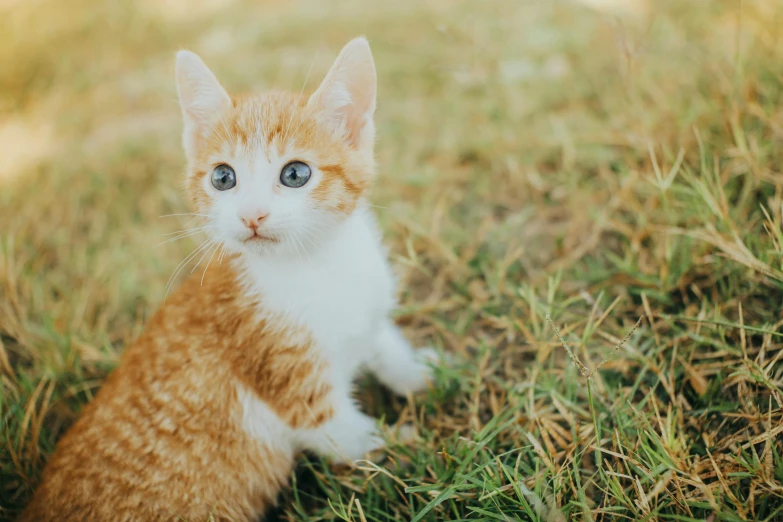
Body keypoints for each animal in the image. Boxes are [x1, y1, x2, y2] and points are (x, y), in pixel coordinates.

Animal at [21, 37, 440, 520]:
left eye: (295, 173)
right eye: (224, 177)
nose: (251, 215)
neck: (318, 264)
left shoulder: (366, 307)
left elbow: (382, 341)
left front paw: (423, 373)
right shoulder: (296, 391)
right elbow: (349, 436)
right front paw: (408, 446)